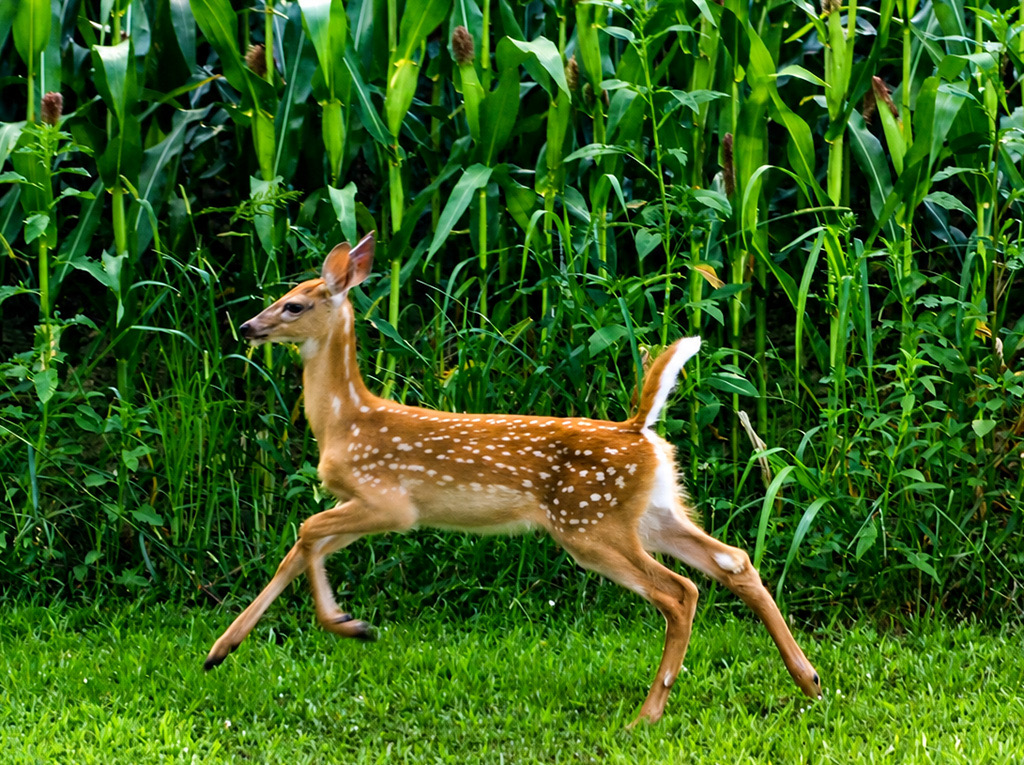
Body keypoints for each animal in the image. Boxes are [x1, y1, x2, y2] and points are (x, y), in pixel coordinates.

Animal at [204, 231, 822, 725]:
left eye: (293, 305)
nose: (248, 326)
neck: (344, 420)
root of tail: (639, 429)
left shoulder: (390, 502)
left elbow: (306, 531)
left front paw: (347, 624)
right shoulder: (364, 507)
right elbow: (302, 546)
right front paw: (220, 650)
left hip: (589, 523)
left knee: (680, 591)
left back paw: (646, 715)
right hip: (654, 511)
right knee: (733, 561)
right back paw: (808, 680)